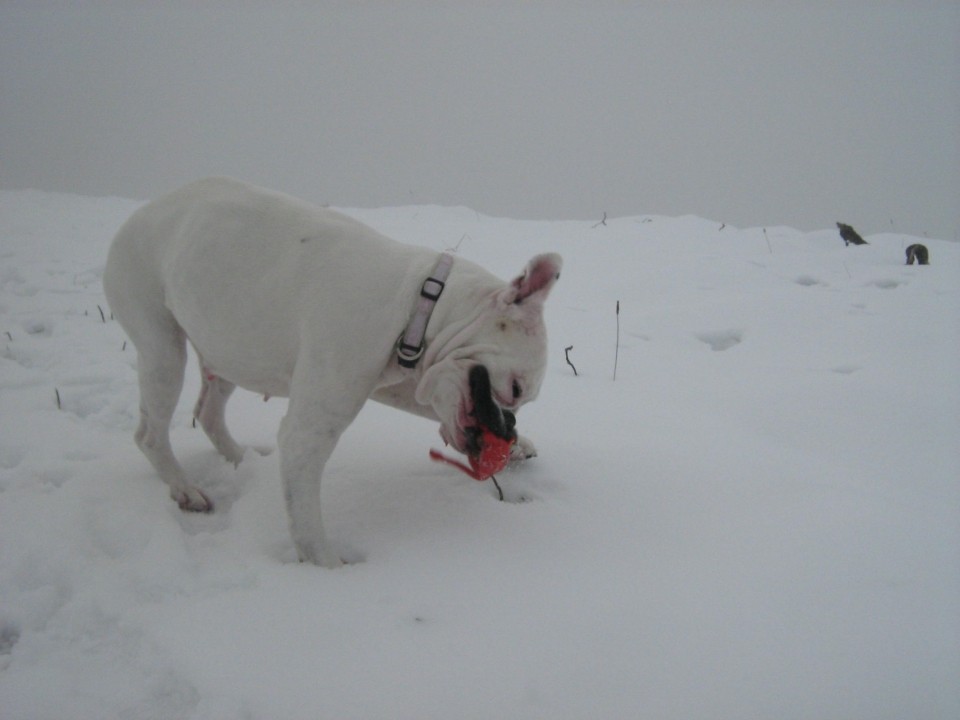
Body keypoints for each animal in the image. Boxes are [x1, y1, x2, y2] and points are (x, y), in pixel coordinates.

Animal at [103, 177, 564, 564]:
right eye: (514, 389)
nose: (507, 427)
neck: (418, 301)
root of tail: (141, 214)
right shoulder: (311, 430)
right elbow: (306, 518)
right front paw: (327, 569)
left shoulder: (402, 380)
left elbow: (427, 404)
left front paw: (520, 446)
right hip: (162, 350)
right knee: (150, 433)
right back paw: (184, 488)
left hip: (229, 351)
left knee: (210, 413)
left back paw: (240, 458)